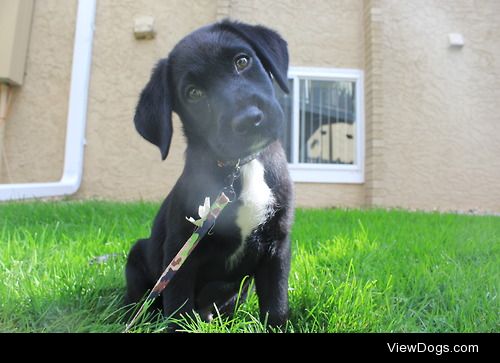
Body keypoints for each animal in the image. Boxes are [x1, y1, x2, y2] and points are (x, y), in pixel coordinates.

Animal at [125, 18, 294, 328]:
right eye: (194, 93)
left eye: (242, 61)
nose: (249, 120)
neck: (241, 166)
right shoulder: (181, 250)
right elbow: (178, 310)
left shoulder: (277, 246)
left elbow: (276, 304)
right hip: (137, 255)